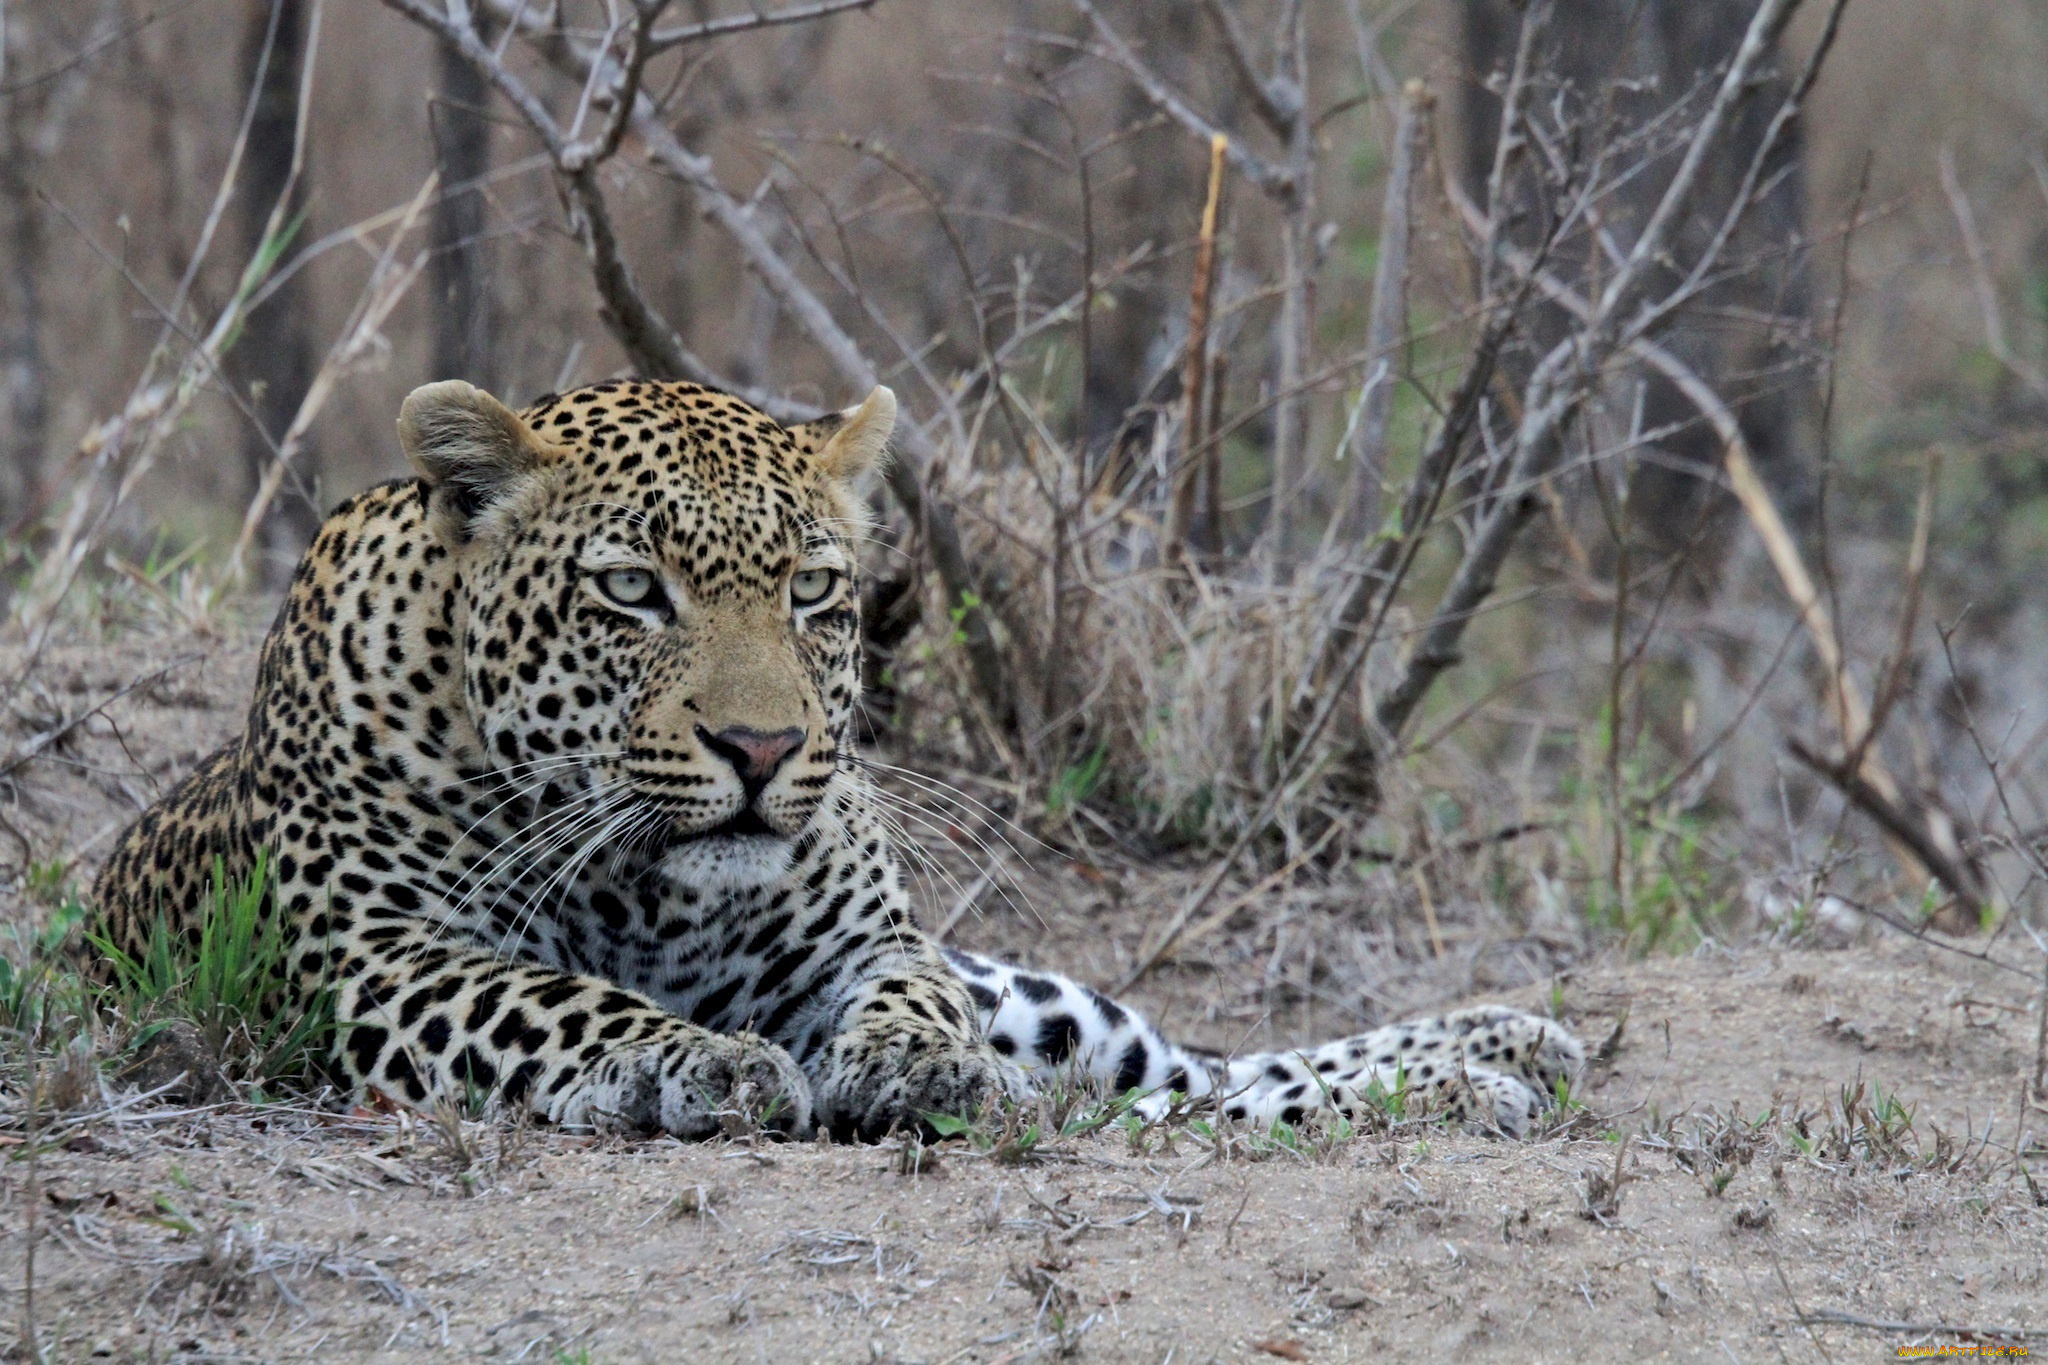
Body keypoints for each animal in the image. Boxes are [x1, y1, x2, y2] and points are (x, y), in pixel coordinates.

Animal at [92, 374, 1581, 1146]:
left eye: (811, 590)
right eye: (629, 591)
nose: (761, 747)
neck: (655, 892)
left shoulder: (870, 943)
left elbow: (911, 998)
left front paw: (916, 1068)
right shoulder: (382, 957)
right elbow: (550, 998)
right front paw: (704, 1062)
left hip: (1034, 995)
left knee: (1189, 1069)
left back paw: (1497, 1047)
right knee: (1197, 1093)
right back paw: (1482, 1077)